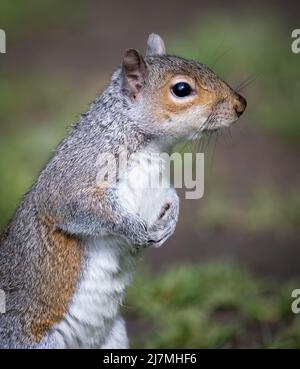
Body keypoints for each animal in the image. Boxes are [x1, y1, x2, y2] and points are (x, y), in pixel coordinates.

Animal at [0, 33, 246, 346]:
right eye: (181, 89)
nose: (241, 104)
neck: (151, 145)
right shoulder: (76, 171)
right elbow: (68, 204)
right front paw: (135, 230)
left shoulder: (159, 184)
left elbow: (172, 197)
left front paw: (171, 221)